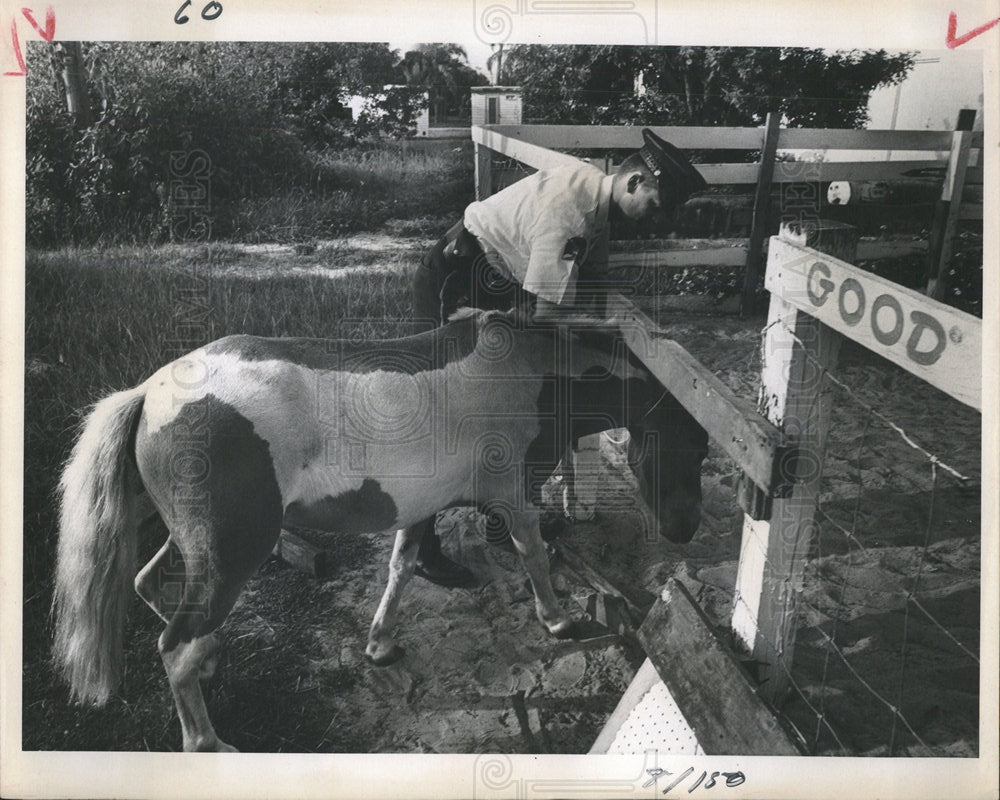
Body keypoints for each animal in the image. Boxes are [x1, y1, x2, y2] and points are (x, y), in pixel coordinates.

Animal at [54, 310, 708, 752]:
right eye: (692, 447)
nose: (685, 531)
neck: (535, 372)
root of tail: (149, 393)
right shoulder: (514, 499)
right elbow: (534, 557)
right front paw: (557, 620)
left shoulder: (421, 507)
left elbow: (401, 568)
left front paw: (379, 643)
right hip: (233, 553)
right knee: (175, 645)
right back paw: (207, 741)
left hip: (197, 545)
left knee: (149, 587)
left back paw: (210, 662)